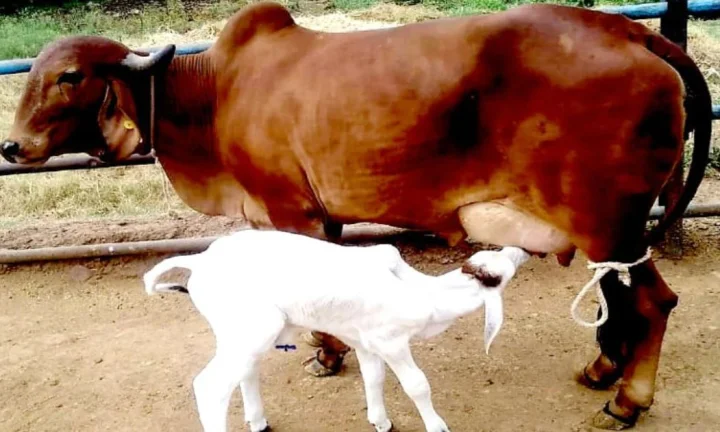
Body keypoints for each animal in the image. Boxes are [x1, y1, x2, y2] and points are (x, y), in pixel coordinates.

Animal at [1, 2, 712, 429]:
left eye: (69, 77)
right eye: (34, 73)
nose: (13, 148)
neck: (214, 94)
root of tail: (629, 29)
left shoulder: (292, 211)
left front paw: (327, 354)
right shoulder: (325, 217)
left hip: (610, 222)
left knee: (654, 302)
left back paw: (628, 399)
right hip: (608, 231)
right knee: (618, 299)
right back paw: (602, 369)